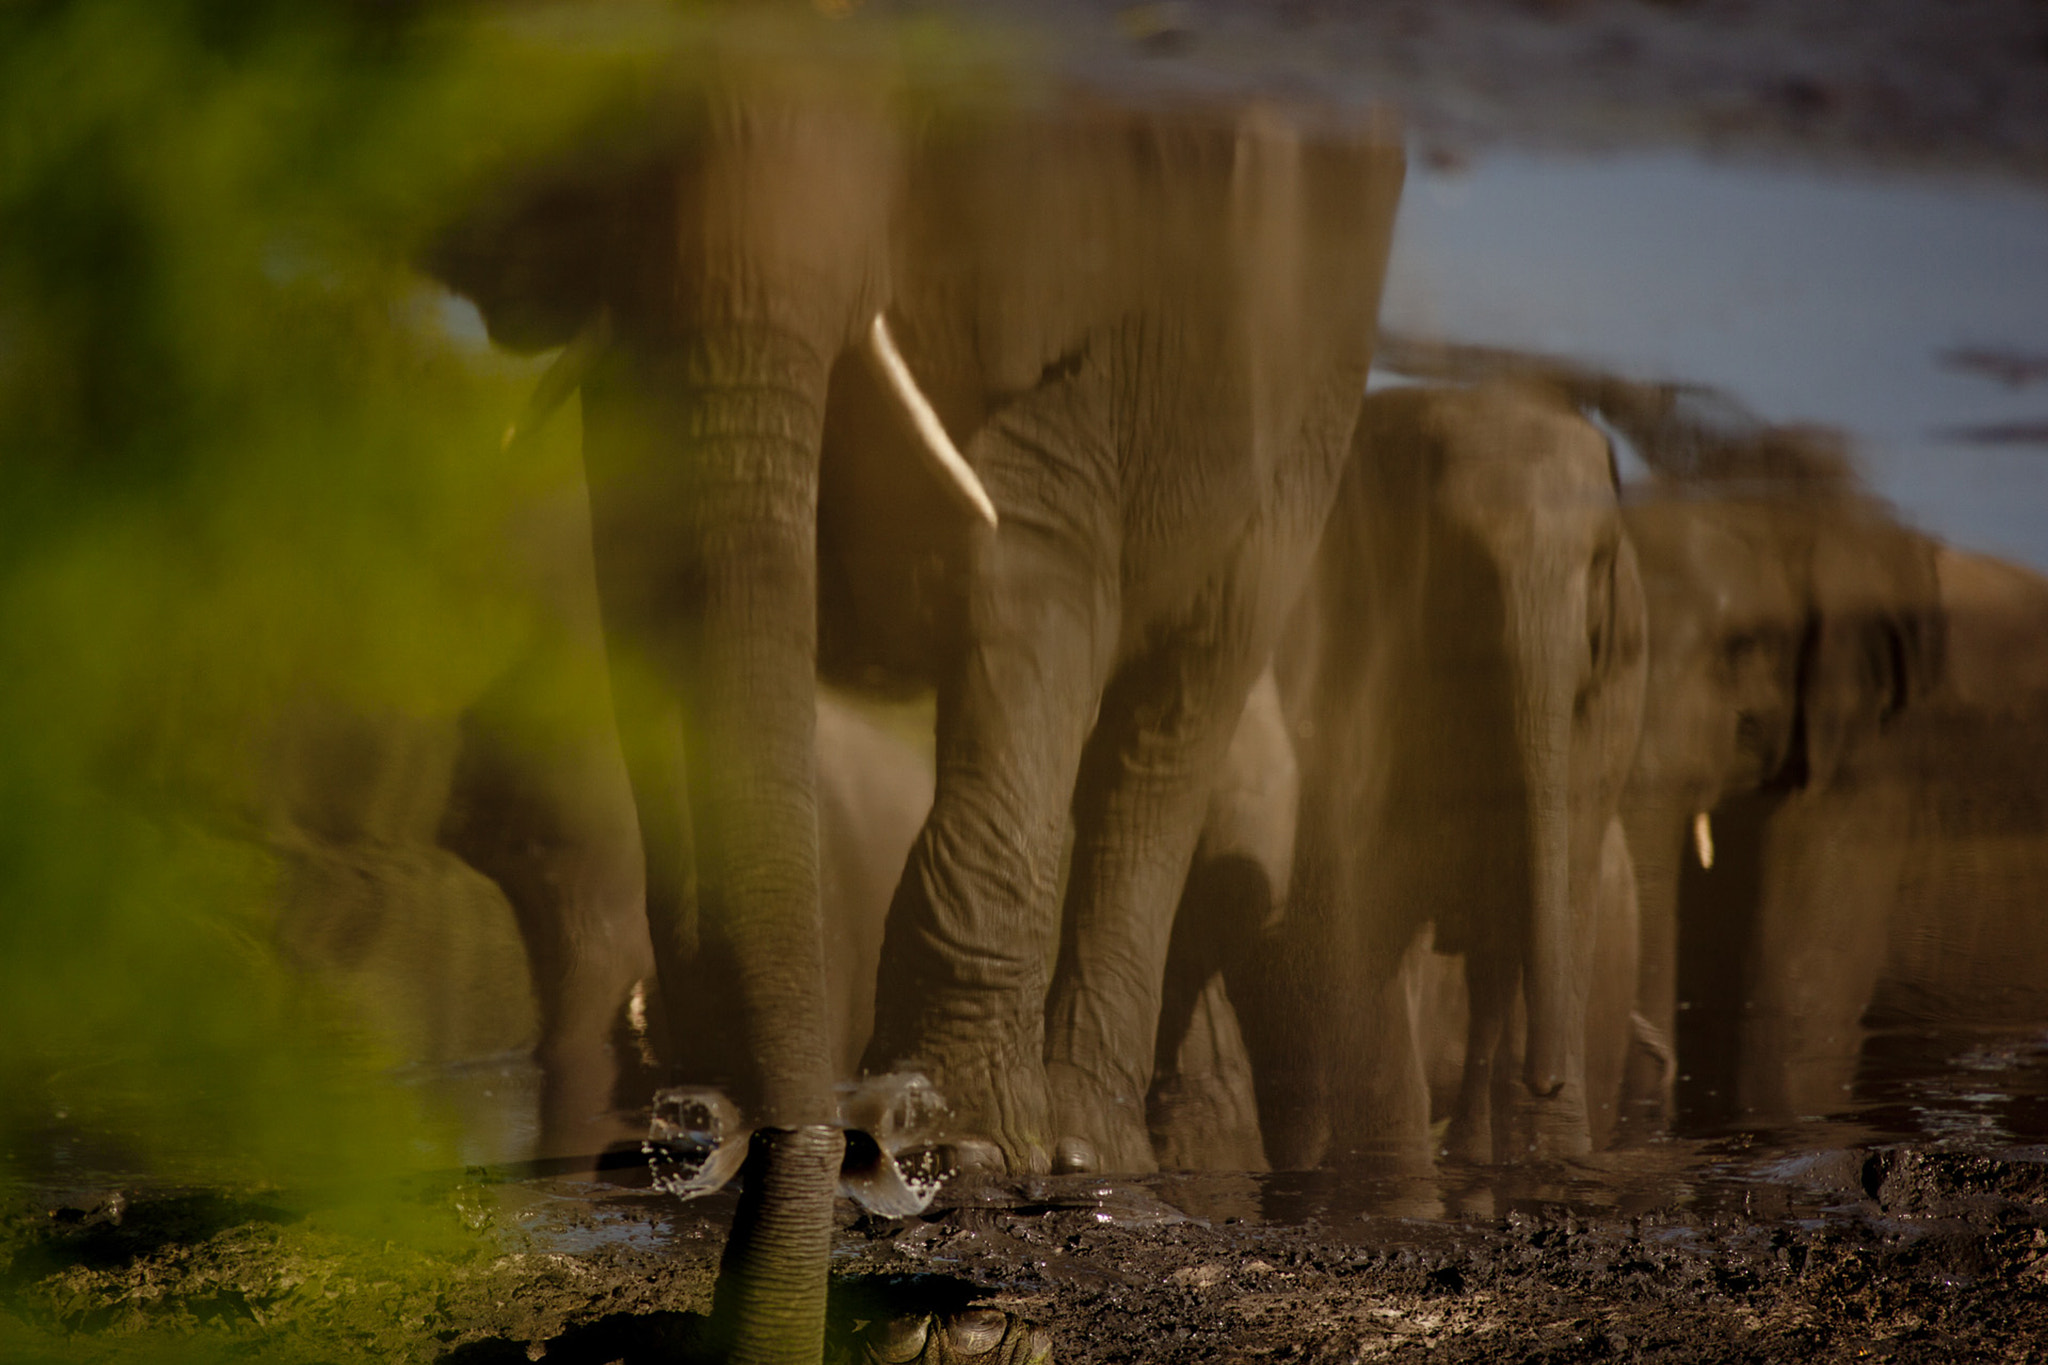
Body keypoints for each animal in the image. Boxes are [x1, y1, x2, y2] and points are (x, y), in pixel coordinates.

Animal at [430, 52, 1405, 1362]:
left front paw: (955, 1152)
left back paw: (1087, 1157)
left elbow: (1023, 587)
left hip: (1308, 388)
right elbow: (648, 598)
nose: (808, 1144)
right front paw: (701, 1137)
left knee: (1172, 713)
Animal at [1212, 378, 1648, 1172]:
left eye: (1602, 558)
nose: (1544, 1078)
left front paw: (1544, 1156)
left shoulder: (1618, 675)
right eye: (1460, 566)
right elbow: (1364, 898)